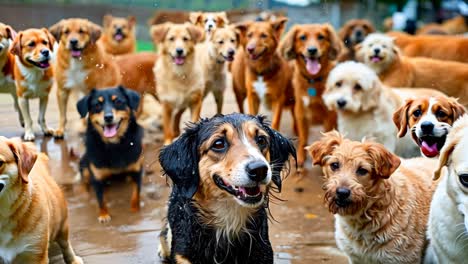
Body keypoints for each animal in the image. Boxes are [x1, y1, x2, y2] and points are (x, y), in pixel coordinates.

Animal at [77, 86, 144, 223]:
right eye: (97, 105)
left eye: (118, 101)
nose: (108, 117)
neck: (114, 145)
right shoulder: (97, 177)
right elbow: (100, 199)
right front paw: (103, 215)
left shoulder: (137, 170)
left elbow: (136, 193)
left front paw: (135, 210)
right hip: (84, 164)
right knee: (85, 181)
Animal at [280, 23, 342, 168]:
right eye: (302, 37)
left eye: (321, 37)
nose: (312, 50)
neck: (313, 80)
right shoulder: (301, 113)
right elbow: (303, 138)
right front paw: (301, 157)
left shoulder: (329, 116)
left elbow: (329, 138)